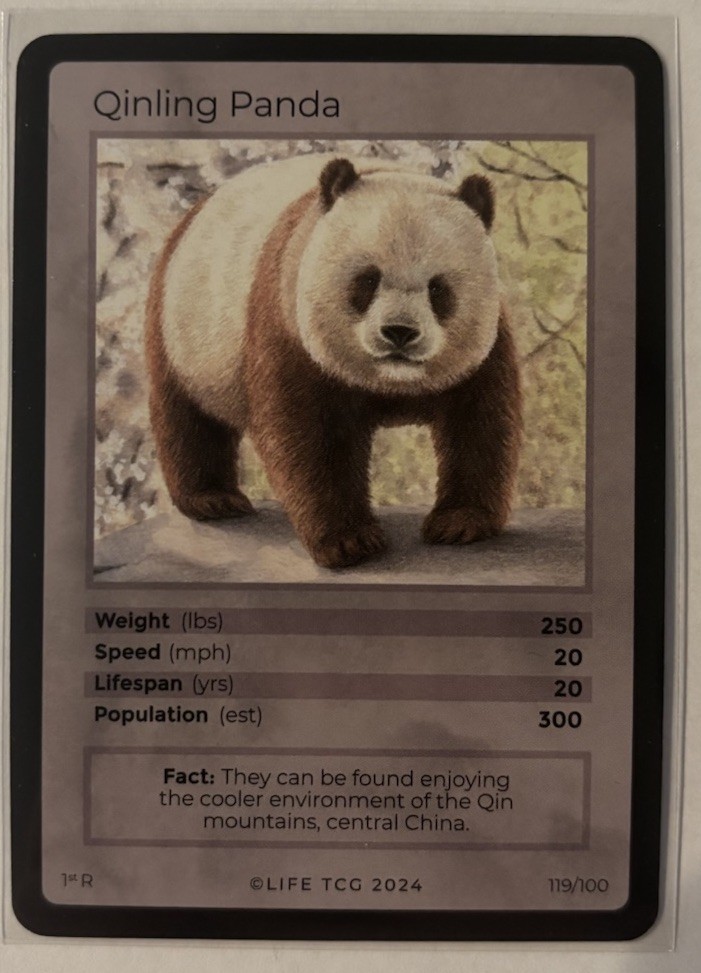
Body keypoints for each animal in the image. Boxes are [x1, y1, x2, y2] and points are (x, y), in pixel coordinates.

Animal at [145, 154, 522, 569]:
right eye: (368, 280)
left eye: (438, 288)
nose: (399, 333)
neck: (390, 382)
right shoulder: (290, 325)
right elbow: (310, 437)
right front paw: (349, 542)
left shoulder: (483, 348)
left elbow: (480, 422)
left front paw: (460, 523)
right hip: (184, 329)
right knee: (186, 415)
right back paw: (212, 499)